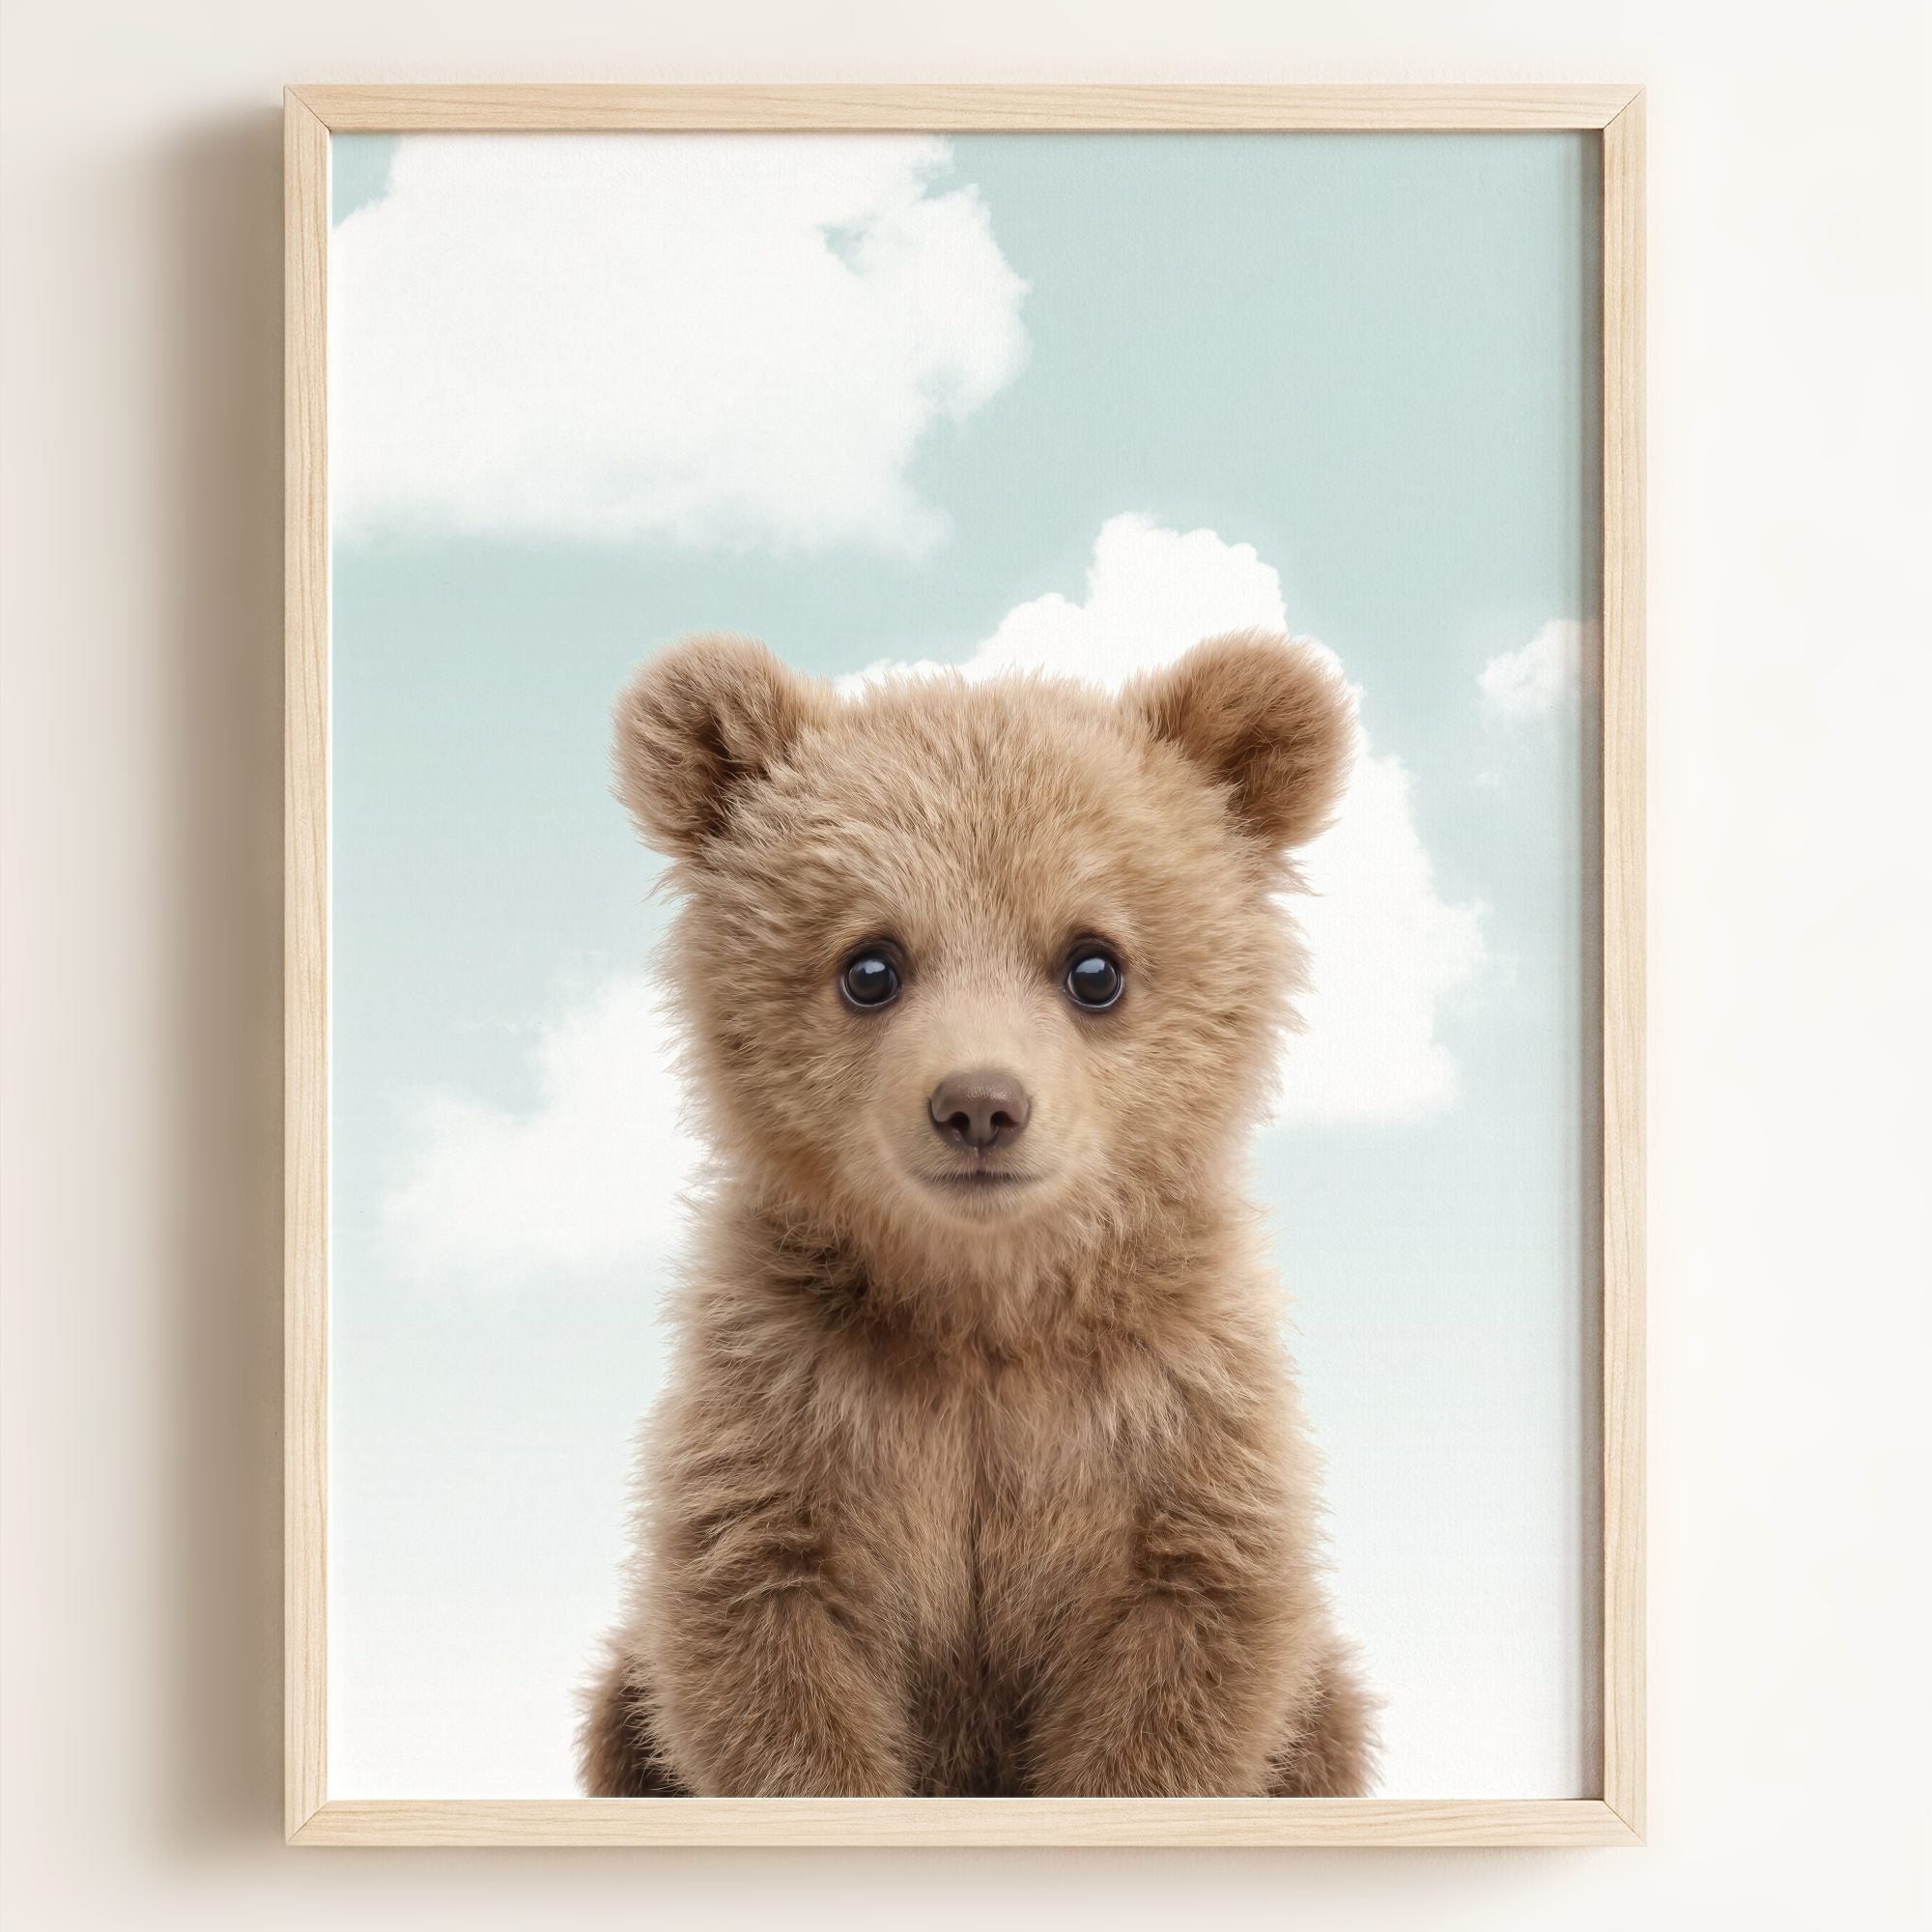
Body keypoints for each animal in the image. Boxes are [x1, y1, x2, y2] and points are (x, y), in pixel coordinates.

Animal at [579, 627, 1377, 1799]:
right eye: (870, 965)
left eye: (1094, 964)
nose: (979, 1105)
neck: (982, 1304)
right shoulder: (789, 1403)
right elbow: (763, 1640)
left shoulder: (1172, 1414)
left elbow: (1188, 1648)